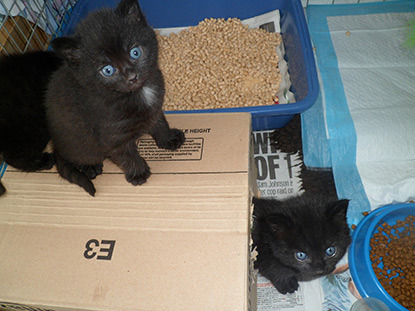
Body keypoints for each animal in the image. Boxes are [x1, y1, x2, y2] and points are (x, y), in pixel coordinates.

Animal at [44, 0, 185, 196]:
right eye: (108, 70)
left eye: (135, 52)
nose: (132, 76)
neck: (137, 94)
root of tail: (56, 145)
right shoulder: (112, 136)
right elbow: (126, 155)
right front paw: (138, 173)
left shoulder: (154, 109)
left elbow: (159, 124)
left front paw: (169, 139)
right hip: (81, 145)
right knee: (81, 156)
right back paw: (89, 167)